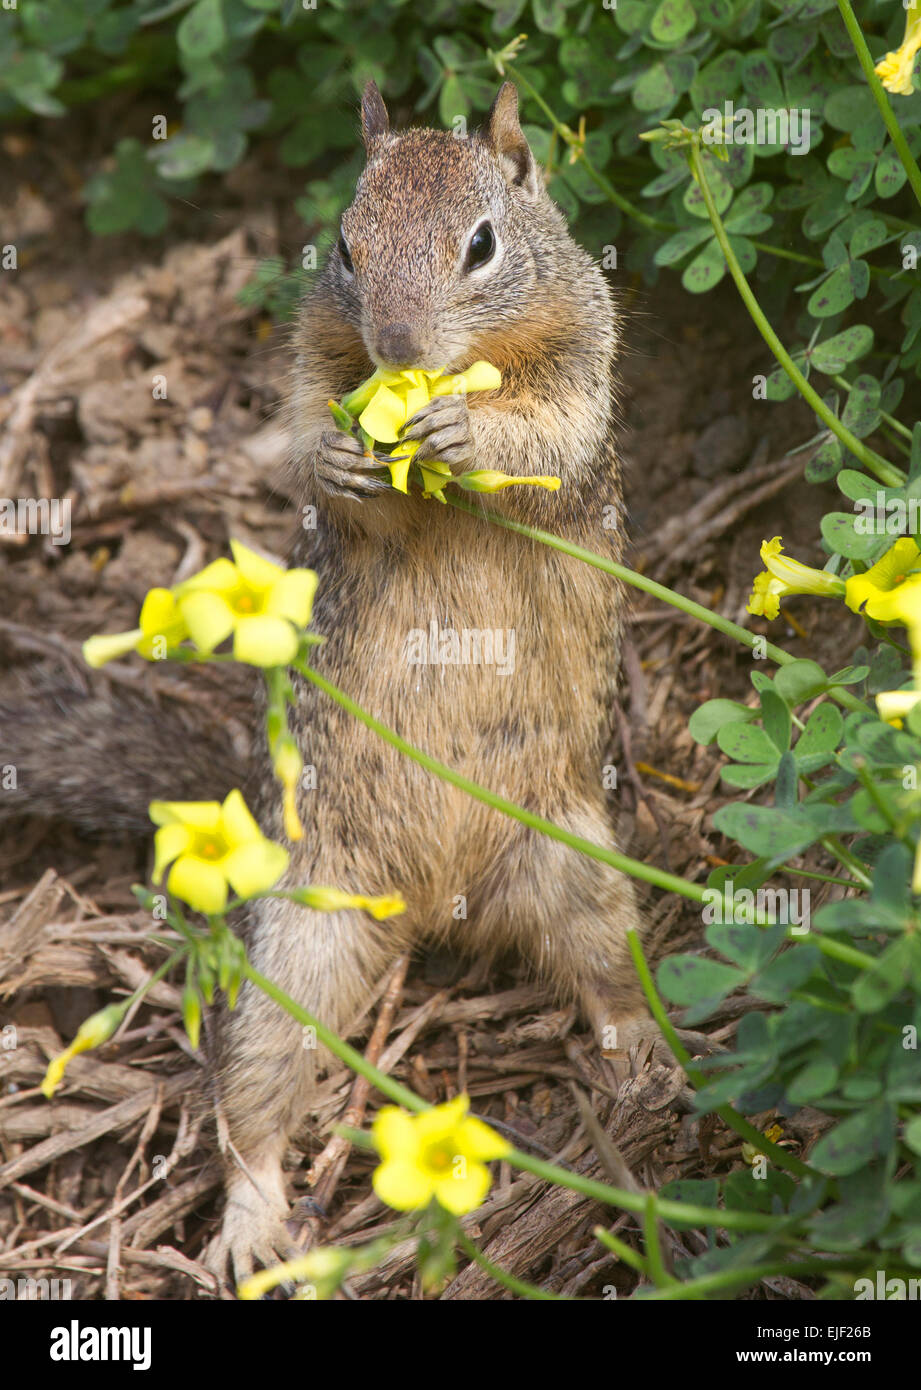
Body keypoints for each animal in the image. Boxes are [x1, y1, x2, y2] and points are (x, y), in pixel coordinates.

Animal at [2, 81, 679, 1284]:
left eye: (482, 244)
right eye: (348, 249)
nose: (396, 343)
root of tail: (442, 905)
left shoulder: (585, 374)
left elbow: (545, 437)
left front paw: (463, 426)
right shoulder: (318, 355)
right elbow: (317, 444)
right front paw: (336, 456)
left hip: (581, 869)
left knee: (605, 975)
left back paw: (644, 1054)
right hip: (298, 941)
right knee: (253, 1092)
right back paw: (251, 1221)